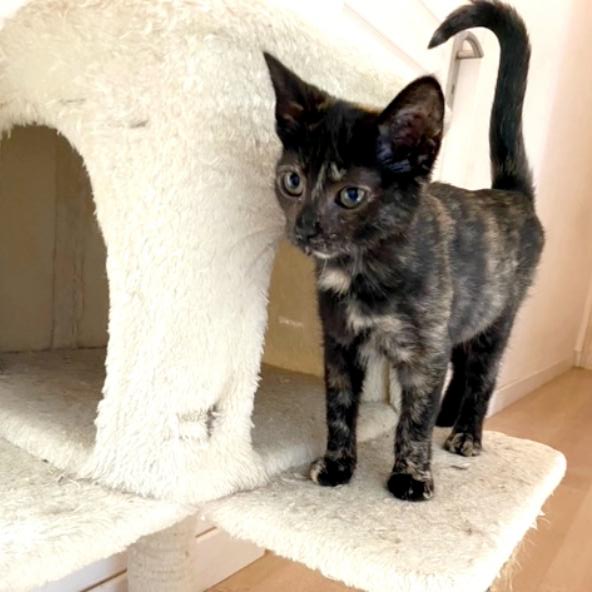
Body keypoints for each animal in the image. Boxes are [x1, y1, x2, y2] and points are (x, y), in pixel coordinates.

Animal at [264, 0, 542, 501]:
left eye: (351, 195)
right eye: (292, 180)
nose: (306, 228)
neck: (362, 266)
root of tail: (510, 194)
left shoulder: (423, 351)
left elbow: (413, 417)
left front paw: (411, 475)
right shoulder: (340, 344)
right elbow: (339, 408)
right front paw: (337, 465)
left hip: (500, 315)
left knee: (483, 373)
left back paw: (466, 432)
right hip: (467, 311)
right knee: (461, 360)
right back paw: (449, 417)